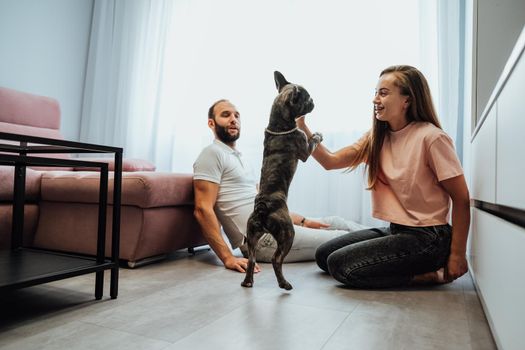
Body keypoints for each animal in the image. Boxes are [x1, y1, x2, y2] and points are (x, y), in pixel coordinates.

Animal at [241, 72, 322, 290]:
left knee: (251, 259)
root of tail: (262, 207)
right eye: (307, 99)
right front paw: (317, 135)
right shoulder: (304, 150)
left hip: (252, 234)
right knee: (276, 260)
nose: (313, 101)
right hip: (287, 233)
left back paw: (248, 282)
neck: (278, 124)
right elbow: (311, 141)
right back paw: (284, 284)